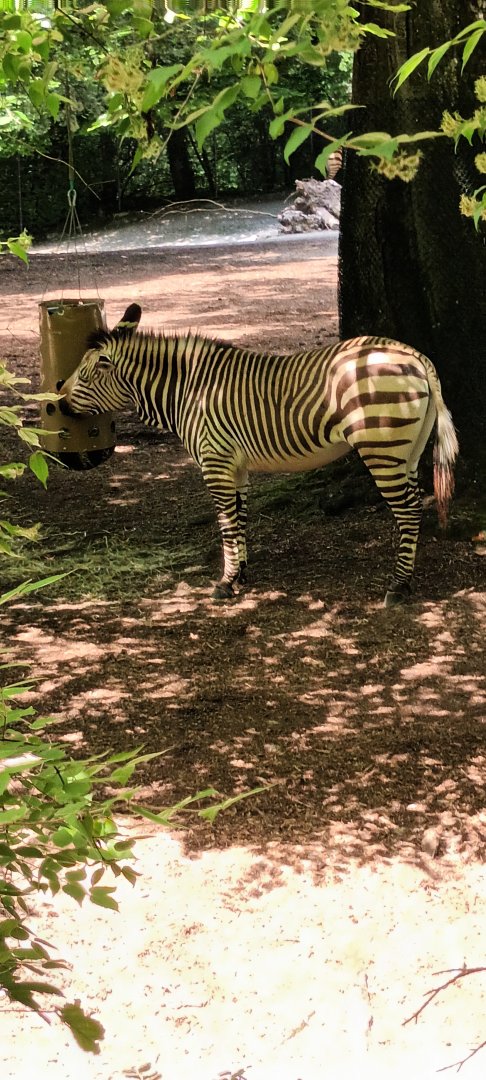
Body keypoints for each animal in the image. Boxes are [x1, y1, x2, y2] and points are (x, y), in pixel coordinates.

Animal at [59, 304, 458, 606]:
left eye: (84, 376)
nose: (58, 404)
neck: (190, 390)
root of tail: (415, 356)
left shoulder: (215, 462)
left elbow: (225, 523)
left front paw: (225, 583)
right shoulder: (236, 467)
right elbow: (240, 518)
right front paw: (242, 574)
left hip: (381, 449)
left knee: (408, 510)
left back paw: (398, 586)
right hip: (407, 451)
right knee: (415, 504)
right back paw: (405, 577)